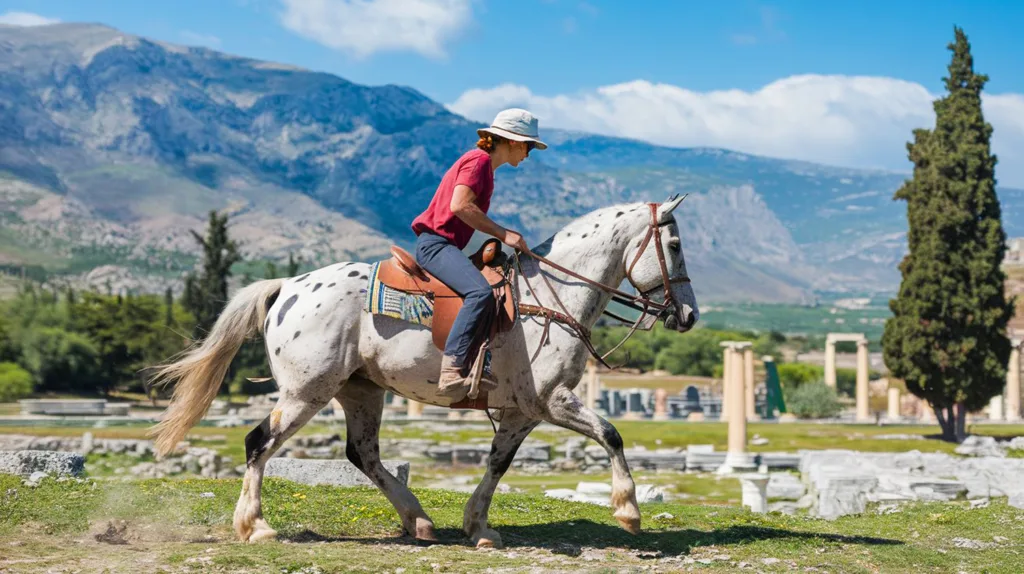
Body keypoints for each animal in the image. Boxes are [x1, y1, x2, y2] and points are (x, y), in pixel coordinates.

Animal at [149, 195, 696, 544]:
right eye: (674, 247)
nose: (688, 314)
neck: (549, 297)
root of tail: (287, 287)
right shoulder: (553, 399)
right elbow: (612, 434)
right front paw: (628, 511)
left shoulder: (523, 411)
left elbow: (498, 464)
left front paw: (478, 526)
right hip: (306, 392)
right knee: (258, 442)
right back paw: (256, 526)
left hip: (361, 391)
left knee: (362, 455)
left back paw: (418, 520)